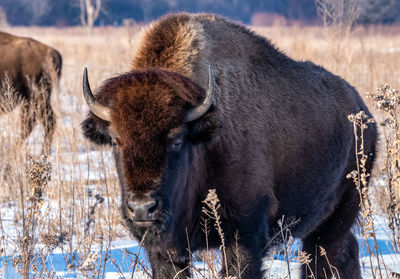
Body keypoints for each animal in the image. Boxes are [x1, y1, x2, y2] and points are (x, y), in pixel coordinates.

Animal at [82, 13, 378, 279]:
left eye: (177, 139)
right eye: (115, 139)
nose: (142, 208)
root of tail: (363, 112)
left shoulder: (245, 234)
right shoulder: (166, 250)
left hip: (337, 217)